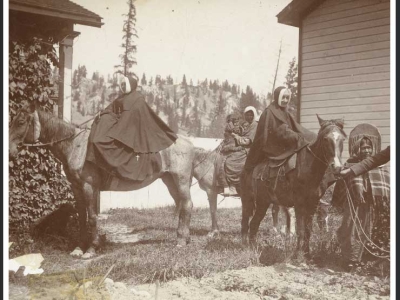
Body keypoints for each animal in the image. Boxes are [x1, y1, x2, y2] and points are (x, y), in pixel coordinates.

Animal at [8, 104, 198, 258]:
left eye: (21, 122)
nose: (10, 151)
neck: (75, 146)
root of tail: (187, 142)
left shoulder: (89, 186)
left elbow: (92, 217)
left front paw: (91, 249)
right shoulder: (76, 188)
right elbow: (82, 218)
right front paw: (79, 248)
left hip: (180, 180)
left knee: (187, 205)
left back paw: (181, 241)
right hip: (170, 181)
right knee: (182, 205)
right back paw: (184, 237)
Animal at [241, 116, 346, 254]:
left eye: (342, 139)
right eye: (325, 139)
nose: (337, 167)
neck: (308, 169)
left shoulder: (313, 204)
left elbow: (308, 230)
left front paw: (307, 253)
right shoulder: (299, 203)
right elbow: (300, 230)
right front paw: (298, 254)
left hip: (263, 202)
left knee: (254, 223)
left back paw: (253, 247)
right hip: (252, 201)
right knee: (248, 223)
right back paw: (247, 247)